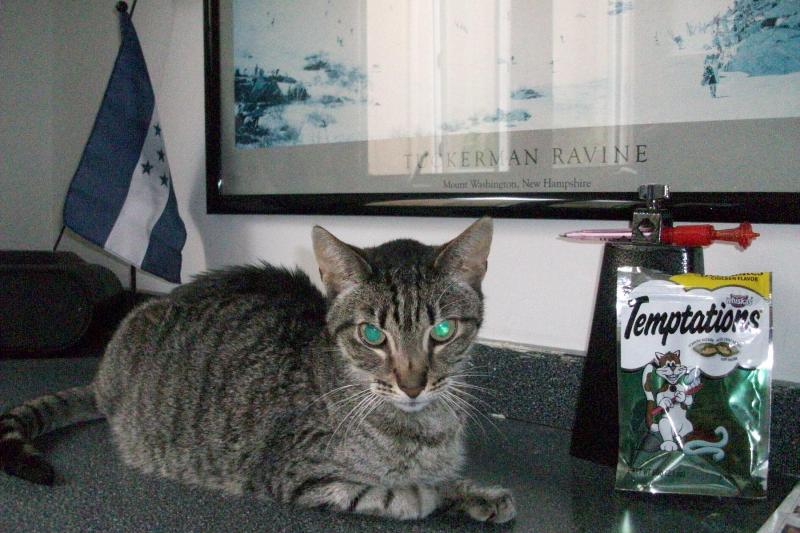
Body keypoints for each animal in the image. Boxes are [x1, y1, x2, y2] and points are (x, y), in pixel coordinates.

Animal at [0, 217, 515, 523]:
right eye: (372, 335)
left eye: (442, 330)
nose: (412, 385)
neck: (422, 428)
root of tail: (103, 379)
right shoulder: (300, 475)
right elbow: (401, 494)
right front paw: (434, 493)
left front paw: (476, 493)